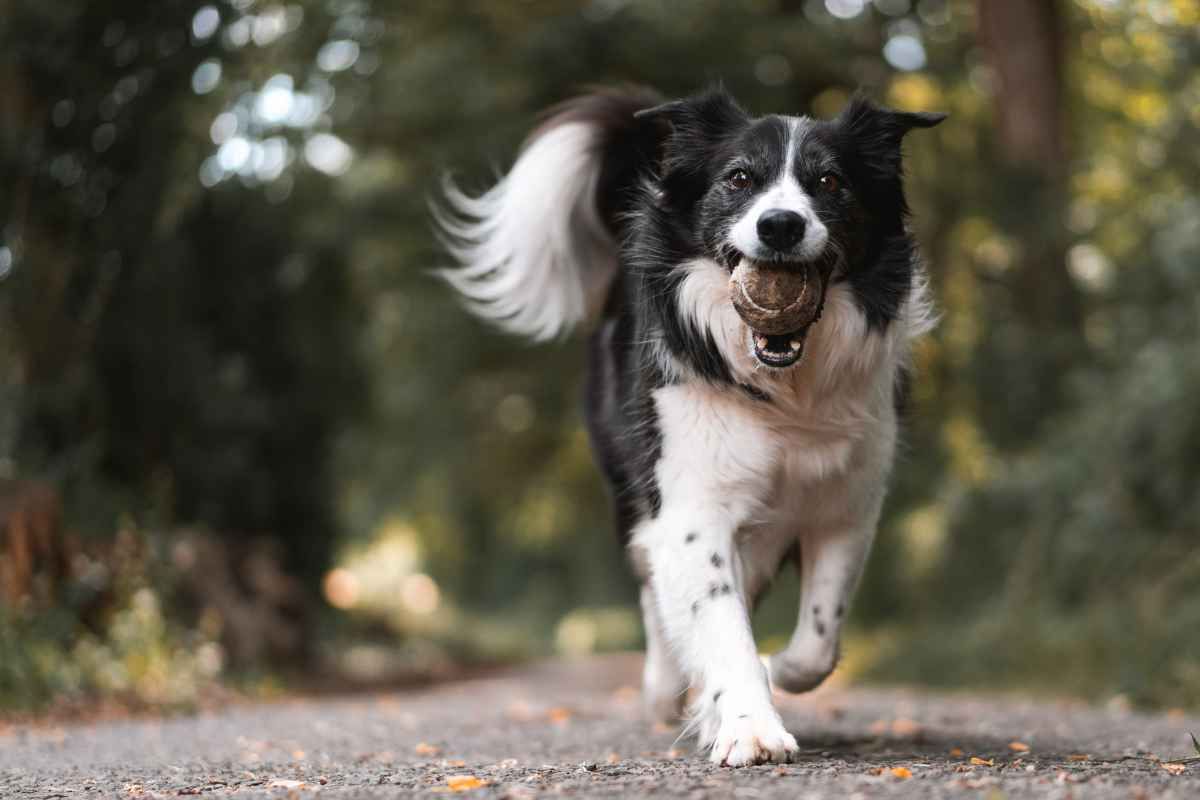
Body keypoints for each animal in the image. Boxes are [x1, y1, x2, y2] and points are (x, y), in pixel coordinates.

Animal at [434, 84, 945, 767]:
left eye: (830, 181)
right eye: (739, 179)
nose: (780, 224)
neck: (785, 388)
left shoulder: (846, 505)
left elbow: (817, 641)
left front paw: (771, 675)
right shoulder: (690, 504)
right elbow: (718, 622)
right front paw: (750, 727)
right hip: (632, 491)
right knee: (655, 593)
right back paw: (665, 689)